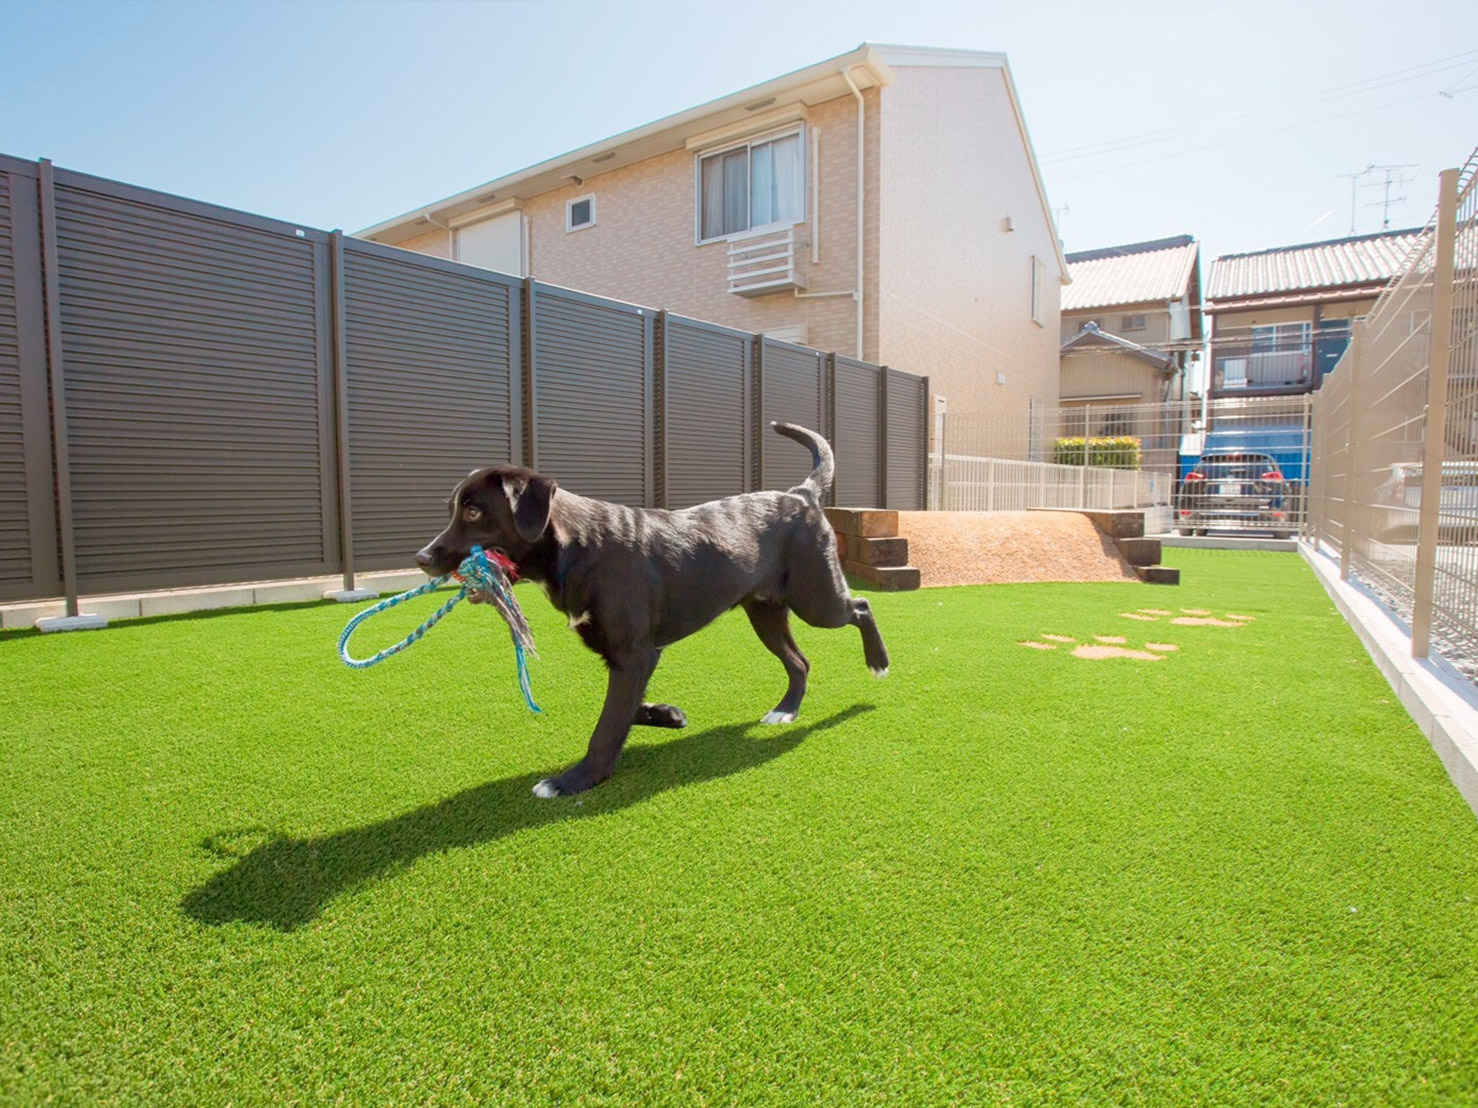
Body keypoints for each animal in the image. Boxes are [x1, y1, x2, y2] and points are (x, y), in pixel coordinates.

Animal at [422, 425, 892, 797]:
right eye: (454, 509)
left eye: (474, 511)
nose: (422, 557)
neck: (576, 546)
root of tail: (801, 494)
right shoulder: (628, 654)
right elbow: (625, 707)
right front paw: (666, 715)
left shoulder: (634, 653)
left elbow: (608, 724)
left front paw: (574, 779)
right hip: (765, 612)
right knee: (800, 661)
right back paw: (786, 710)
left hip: (817, 598)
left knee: (861, 606)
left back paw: (879, 662)